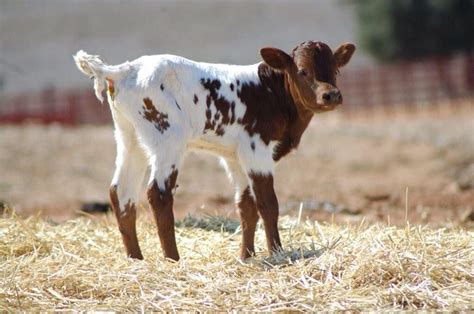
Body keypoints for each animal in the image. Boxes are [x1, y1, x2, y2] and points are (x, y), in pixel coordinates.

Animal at [73, 42, 356, 262]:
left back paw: (136, 260)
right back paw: (173, 259)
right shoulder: (257, 149)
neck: (271, 92)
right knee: (158, 193)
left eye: (335, 69)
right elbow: (268, 203)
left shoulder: (235, 157)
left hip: (130, 139)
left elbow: (246, 206)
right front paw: (277, 253)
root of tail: (126, 69)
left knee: (121, 193)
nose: (331, 95)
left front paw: (246, 256)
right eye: (302, 70)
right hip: (168, 140)